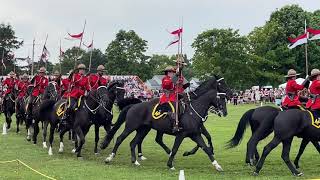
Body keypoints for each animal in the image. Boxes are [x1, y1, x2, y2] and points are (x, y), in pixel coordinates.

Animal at [102, 75, 230, 171]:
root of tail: (133, 106)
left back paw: (135, 161)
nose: (225, 112)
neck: (193, 110)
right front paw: (170, 164)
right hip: (131, 127)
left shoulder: (195, 134)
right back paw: (109, 158)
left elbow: (205, 147)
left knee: (134, 142)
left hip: (144, 129)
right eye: (221, 97)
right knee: (120, 138)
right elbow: (175, 148)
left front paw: (217, 165)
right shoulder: (181, 134)